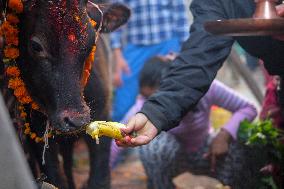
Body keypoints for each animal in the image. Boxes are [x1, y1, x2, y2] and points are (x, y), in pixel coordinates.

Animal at [0, 0, 130, 188]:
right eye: (36, 46)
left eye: (91, 44)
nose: (76, 119)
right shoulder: (37, 136)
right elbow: (55, 178)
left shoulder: (103, 116)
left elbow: (99, 178)